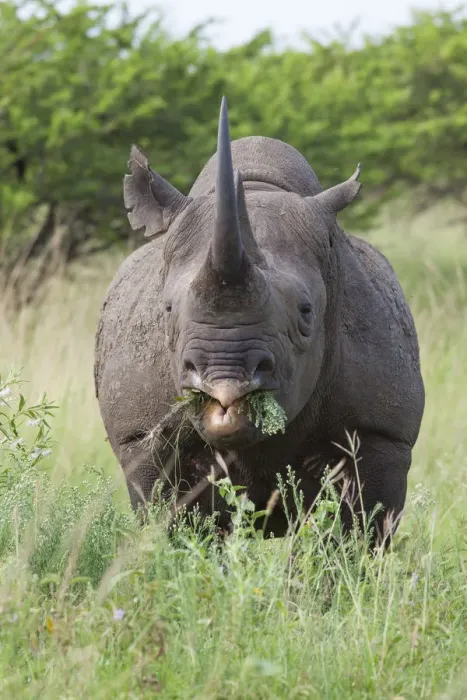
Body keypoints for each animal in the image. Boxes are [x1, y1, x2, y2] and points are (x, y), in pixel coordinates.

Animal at [94, 97, 425, 545]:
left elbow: (356, 531)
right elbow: (172, 524)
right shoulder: (141, 435)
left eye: (306, 312)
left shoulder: (380, 431)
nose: (224, 384)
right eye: (166, 312)